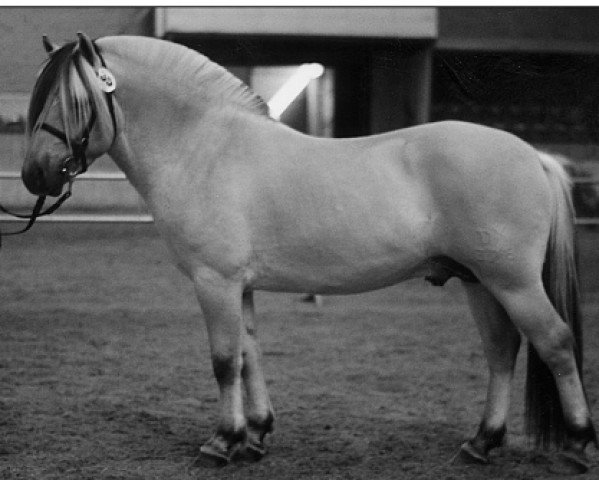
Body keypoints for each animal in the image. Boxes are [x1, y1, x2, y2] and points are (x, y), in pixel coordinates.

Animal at [21, 32, 596, 472]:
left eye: (74, 102)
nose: (33, 175)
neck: (206, 148)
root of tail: (532, 154)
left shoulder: (215, 282)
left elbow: (224, 361)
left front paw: (220, 443)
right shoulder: (239, 286)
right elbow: (249, 355)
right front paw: (255, 436)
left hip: (513, 282)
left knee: (555, 343)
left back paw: (577, 443)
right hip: (480, 282)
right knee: (502, 350)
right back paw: (480, 444)